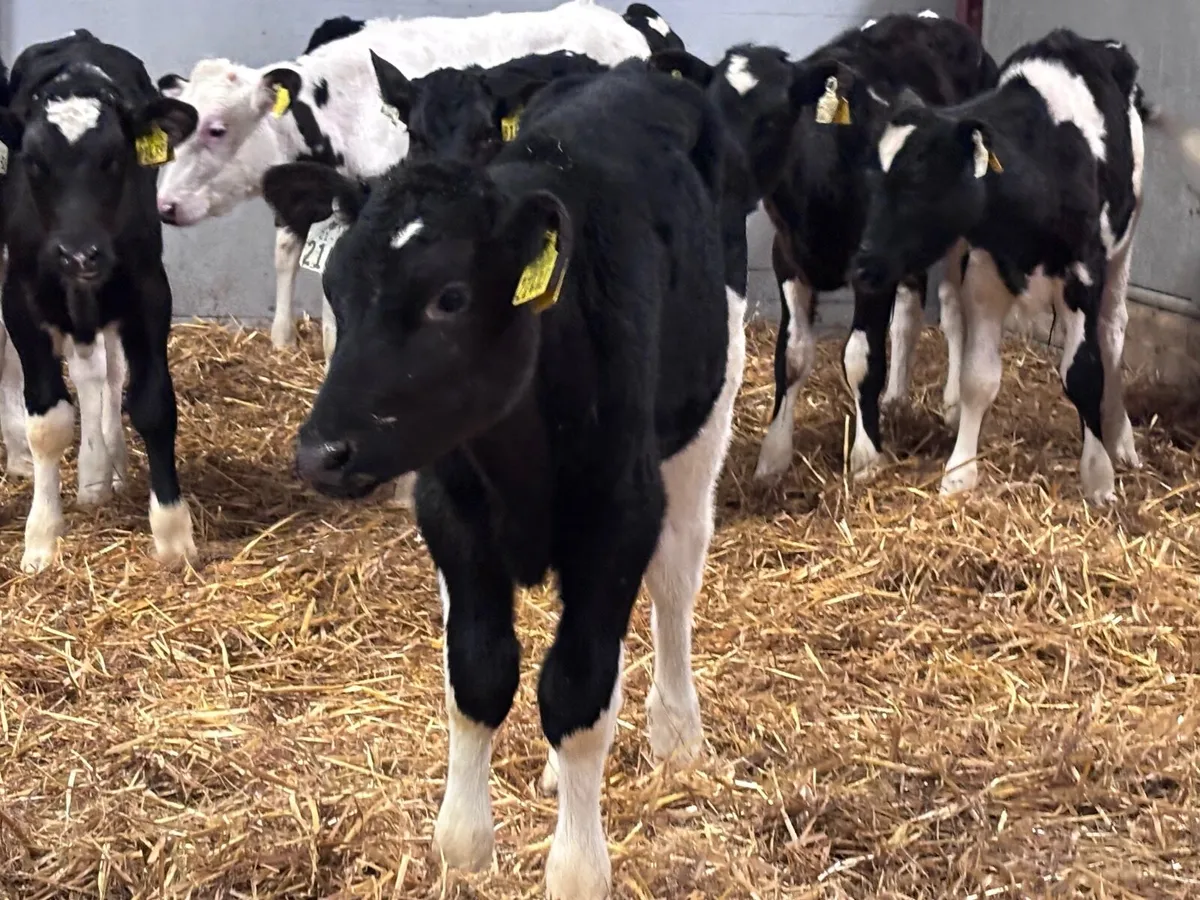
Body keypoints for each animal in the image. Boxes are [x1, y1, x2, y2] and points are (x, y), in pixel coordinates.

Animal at [0, 30, 199, 572]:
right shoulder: (20, 302)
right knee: (90, 377)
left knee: (107, 377)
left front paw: (172, 533)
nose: (79, 253)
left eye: (114, 159)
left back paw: (108, 467)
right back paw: (92, 475)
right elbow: (47, 423)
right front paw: (41, 537)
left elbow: (152, 404)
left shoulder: (150, 293)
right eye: (35, 163)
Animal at [261, 59, 739, 899]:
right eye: (336, 291)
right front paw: (464, 844)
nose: (321, 452)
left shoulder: (617, 519)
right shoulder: (453, 516)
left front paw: (577, 869)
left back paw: (677, 729)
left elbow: (577, 695)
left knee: (677, 579)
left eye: (449, 298)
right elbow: (477, 676)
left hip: (704, 419)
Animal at [651, 12, 999, 483]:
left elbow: (861, 358)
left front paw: (867, 456)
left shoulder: (870, 269)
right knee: (909, 311)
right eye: (711, 112)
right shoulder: (787, 259)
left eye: (774, 119)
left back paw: (952, 406)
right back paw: (896, 397)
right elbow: (792, 355)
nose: (721, 184)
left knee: (953, 309)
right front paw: (774, 456)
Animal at [848, 29, 1182, 503]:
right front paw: (960, 470)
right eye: (870, 181)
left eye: (919, 182)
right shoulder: (985, 274)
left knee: (1112, 331)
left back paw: (1120, 439)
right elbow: (978, 378)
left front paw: (1099, 476)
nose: (862, 265)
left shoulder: (1085, 273)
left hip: (1125, 242)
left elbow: (1084, 372)